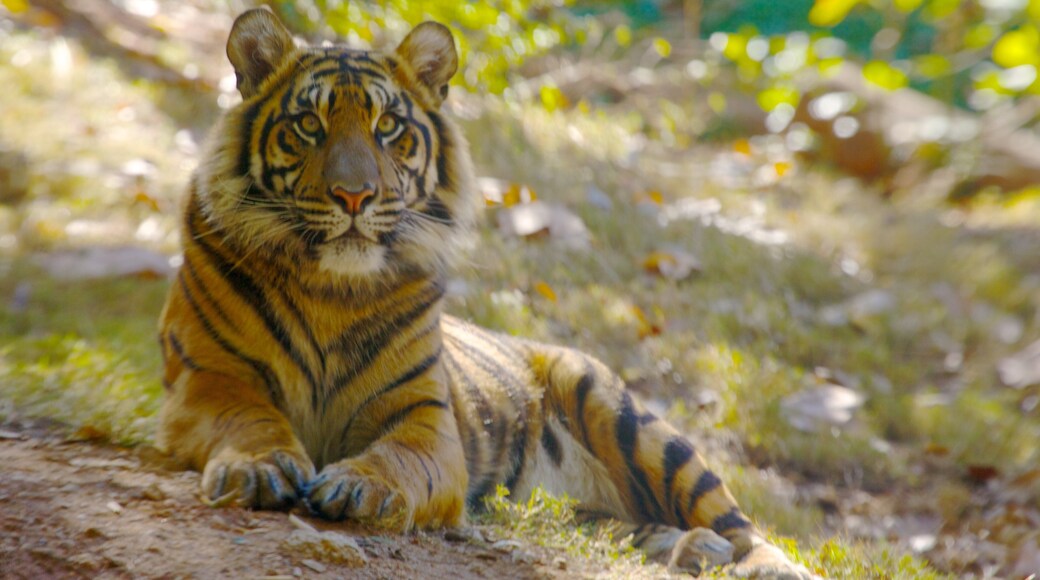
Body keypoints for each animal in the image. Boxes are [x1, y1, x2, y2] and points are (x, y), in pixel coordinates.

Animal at [156, 7, 810, 577]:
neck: (330, 288)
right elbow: (251, 422)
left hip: (624, 414)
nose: (354, 195)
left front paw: (359, 485)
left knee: (740, 524)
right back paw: (693, 550)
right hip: (573, 513)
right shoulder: (210, 380)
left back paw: (761, 564)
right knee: (628, 529)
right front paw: (259, 468)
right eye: (309, 125)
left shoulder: (424, 419)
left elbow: (397, 457)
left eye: (387, 127)